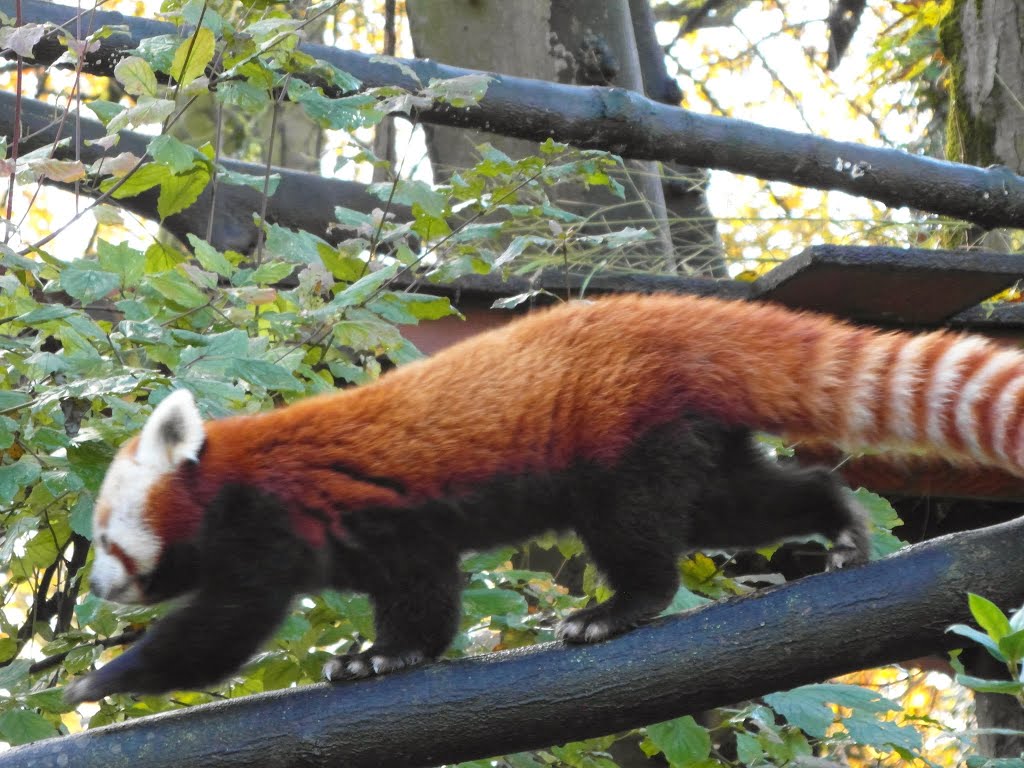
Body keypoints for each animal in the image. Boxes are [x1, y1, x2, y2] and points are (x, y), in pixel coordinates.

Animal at [61, 292, 1024, 704]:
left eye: (106, 539)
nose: (98, 590)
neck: (224, 475)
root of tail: (671, 311)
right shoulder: (384, 532)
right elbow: (422, 595)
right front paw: (379, 658)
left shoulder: (272, 519)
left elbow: (227, 627)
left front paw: (101, 681)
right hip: (690, 436)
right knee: (744, 503)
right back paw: (836, 519)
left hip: (620, 440)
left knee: (638, 535)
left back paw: (615, 610)